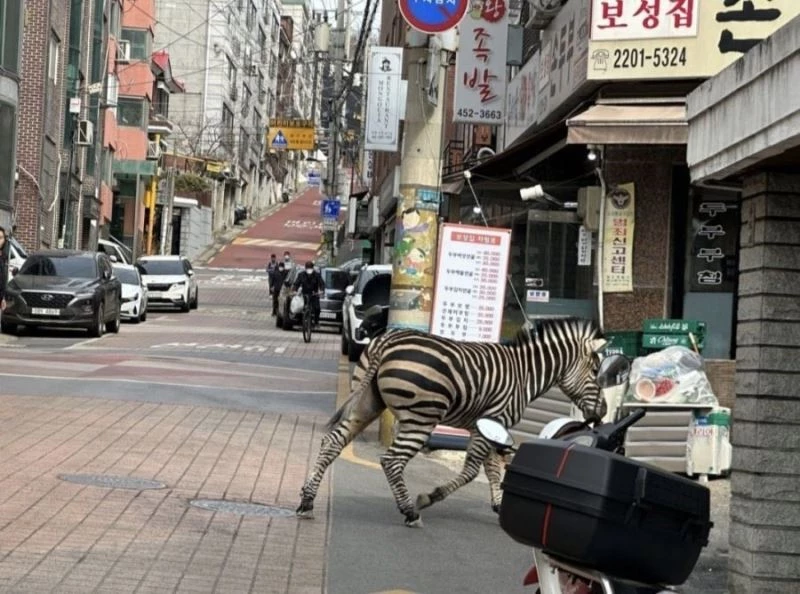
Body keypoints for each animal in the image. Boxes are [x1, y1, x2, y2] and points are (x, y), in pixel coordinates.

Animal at [296, 317, 608, 527]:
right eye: (596, 370)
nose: (602, 413)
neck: (524, 374)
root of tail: (387, 341)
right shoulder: (491, 424)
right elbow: (472, 471)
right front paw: (429, 497)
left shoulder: (490, 426)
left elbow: (492, 470)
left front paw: (498, 505)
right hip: (421, 417)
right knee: (392, 460)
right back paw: (410, 511)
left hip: (367, 402)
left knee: (332, 442)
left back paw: (307, 501)